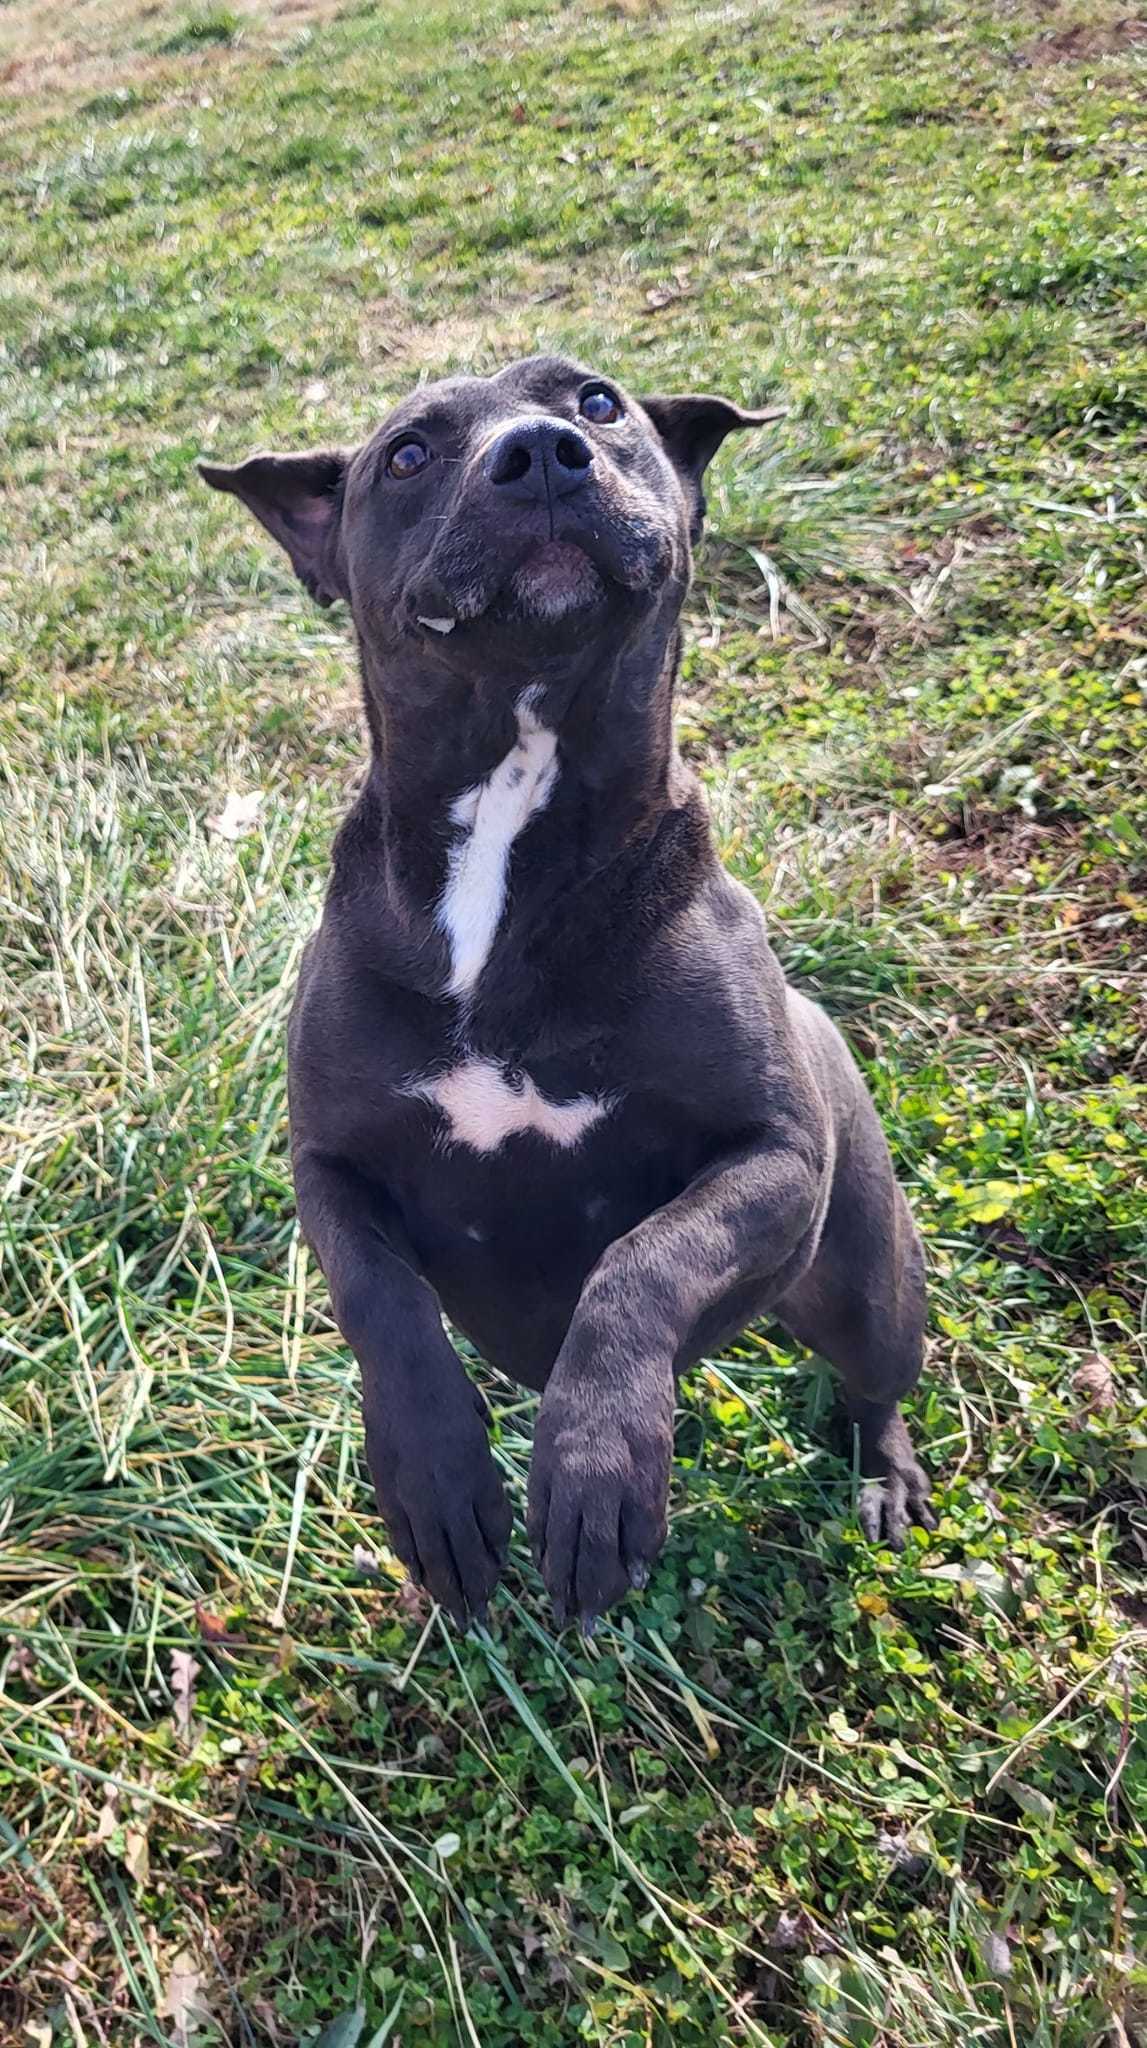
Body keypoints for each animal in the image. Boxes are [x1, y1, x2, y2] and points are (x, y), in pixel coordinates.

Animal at [201, 352, 938, 1630]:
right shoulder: (329, 1167)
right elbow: (384, 1304)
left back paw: (881, 1474)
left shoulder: (774, 1156)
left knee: (875, 1378)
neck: (512, 807)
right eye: (406, 453)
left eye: (597, 402)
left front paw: (595, 1464)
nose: (541, 451)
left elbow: (640, 1262)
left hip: (862, 1278)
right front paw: (439, 1479)